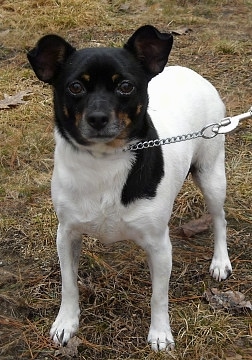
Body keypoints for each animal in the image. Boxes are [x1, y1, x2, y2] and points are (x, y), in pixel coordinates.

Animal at [27, 26, 232, 352]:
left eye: (125, 86)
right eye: (75, 87)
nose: (98, 118)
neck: (104, 162)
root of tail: (191, 73)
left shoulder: (159, 246)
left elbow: (159, 296)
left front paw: (160, 333)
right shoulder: (67, 234)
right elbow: (68, 284)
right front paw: (66, 323)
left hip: (211, 174)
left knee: (219, 219)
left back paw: (220, 261)